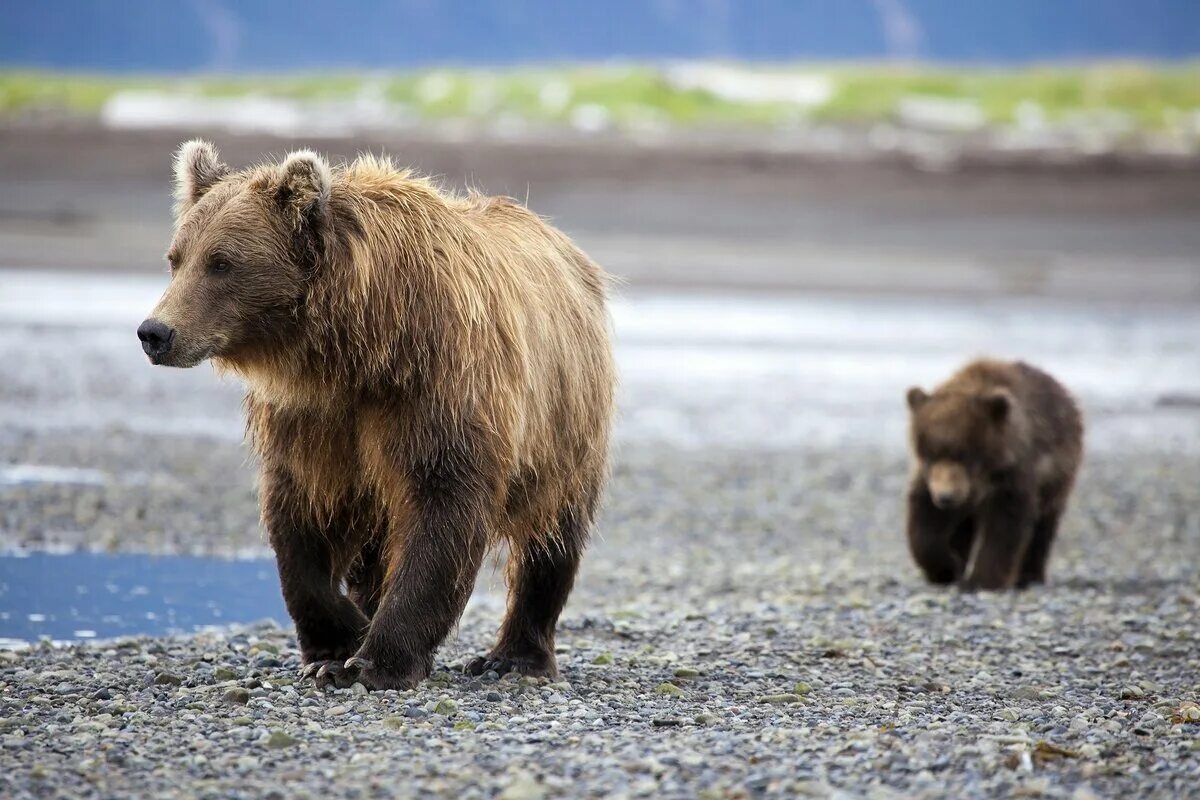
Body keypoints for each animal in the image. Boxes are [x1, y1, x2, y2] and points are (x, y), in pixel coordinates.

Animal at [140, 140, 619, 690]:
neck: (357, 347)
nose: (155, 332)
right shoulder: (314, 418)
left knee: (552, 535)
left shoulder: (438, 386)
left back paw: (514, 656)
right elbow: (299, 517)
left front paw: (378, 659)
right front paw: (337, 644)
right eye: (176, 258)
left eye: (221, 262)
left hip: (566, 422)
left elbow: (443, 507)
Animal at [902, 359, 1084, 592]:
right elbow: (925, 521)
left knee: (1044, 525)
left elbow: (1005, 526)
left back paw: (1029, 577)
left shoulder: (1012, 475)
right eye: (929, 454)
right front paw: (947, 567)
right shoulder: (930, 479)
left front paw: (980, 581)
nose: (946, 497)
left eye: (965, 455)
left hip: (1057, 475)